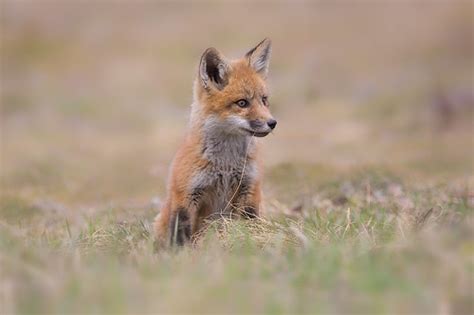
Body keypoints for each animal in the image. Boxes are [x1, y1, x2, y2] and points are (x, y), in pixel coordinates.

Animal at [154, 39, 276, 247]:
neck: (225, 164)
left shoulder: (251, 189)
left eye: (264, 100)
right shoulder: (185, 194)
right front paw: (180, 254)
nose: (272, 123)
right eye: (242, 103)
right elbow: (180, 235)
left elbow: (250, 225)